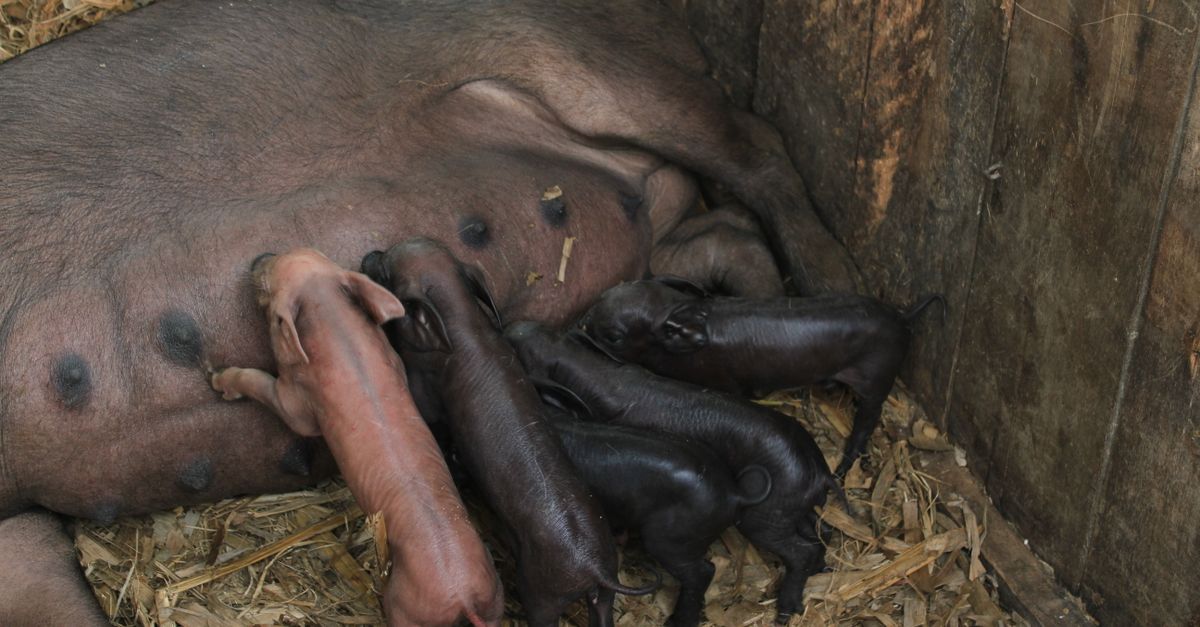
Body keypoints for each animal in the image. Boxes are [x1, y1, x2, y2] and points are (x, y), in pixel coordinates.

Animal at [210, 249, 503, 627]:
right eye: (314, 252)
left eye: (272, 289)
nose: (260, 256)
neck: (338, 328)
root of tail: (465, 598)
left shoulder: (298, 403)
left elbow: (267, 391)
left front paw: (217, 378)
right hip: (495, 596)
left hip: (407, 610)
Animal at [361, 238, 656, 627]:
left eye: (386, 271)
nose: (368, 255)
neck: (461, 320)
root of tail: (594, 567)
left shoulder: (426, 386)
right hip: (604, 594)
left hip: (542, 595)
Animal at [504, 323, 841, 625]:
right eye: (548, 330)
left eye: (521, 351)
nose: (515, 325)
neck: (588, 368)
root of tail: (821, 471)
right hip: (791, 506)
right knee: (821, 532)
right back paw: (820, 570)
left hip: (763, 515)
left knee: (793, 550)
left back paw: (782, 612)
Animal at [578, 280, 943, 476]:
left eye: (613, 336)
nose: (583, 321)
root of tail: (903, 317)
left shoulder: (725, 381)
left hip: (877, 376)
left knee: (868, 418)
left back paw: (842, 470)